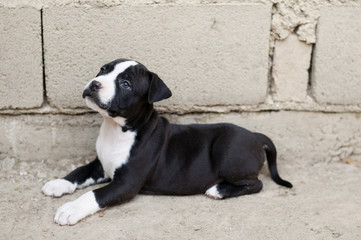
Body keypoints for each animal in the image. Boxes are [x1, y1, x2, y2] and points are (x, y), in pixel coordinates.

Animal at [42, 57, 292, 225]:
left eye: (126, 84)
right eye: (103, 69)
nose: (95, 83)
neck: (117, 130)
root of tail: (256, 136)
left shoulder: (126, 183)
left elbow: (95, 194)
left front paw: (71, 209)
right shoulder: (101, 165)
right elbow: (80, 171)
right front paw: (58, 183)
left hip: (229, 155)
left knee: (255, 184)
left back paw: (219, 190)